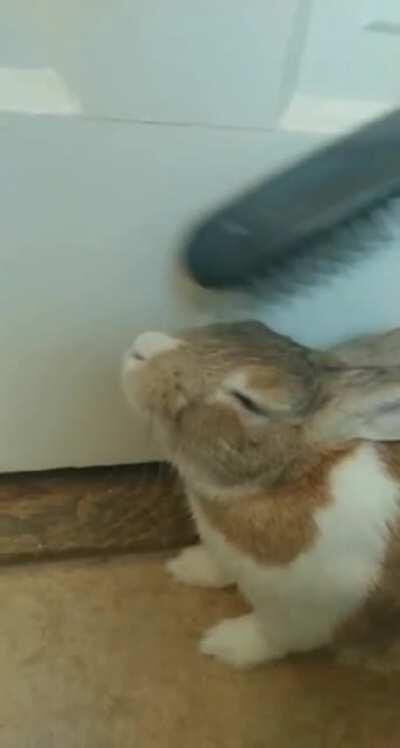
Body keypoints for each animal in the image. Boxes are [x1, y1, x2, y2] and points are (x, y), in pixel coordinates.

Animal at [122, 320, 400, 669]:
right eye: (251, 325)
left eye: (248, 400)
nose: (140, 347)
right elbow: (219, 567)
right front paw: (187, 565)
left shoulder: (308, 617)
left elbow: (270, 636)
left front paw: (221, 644)